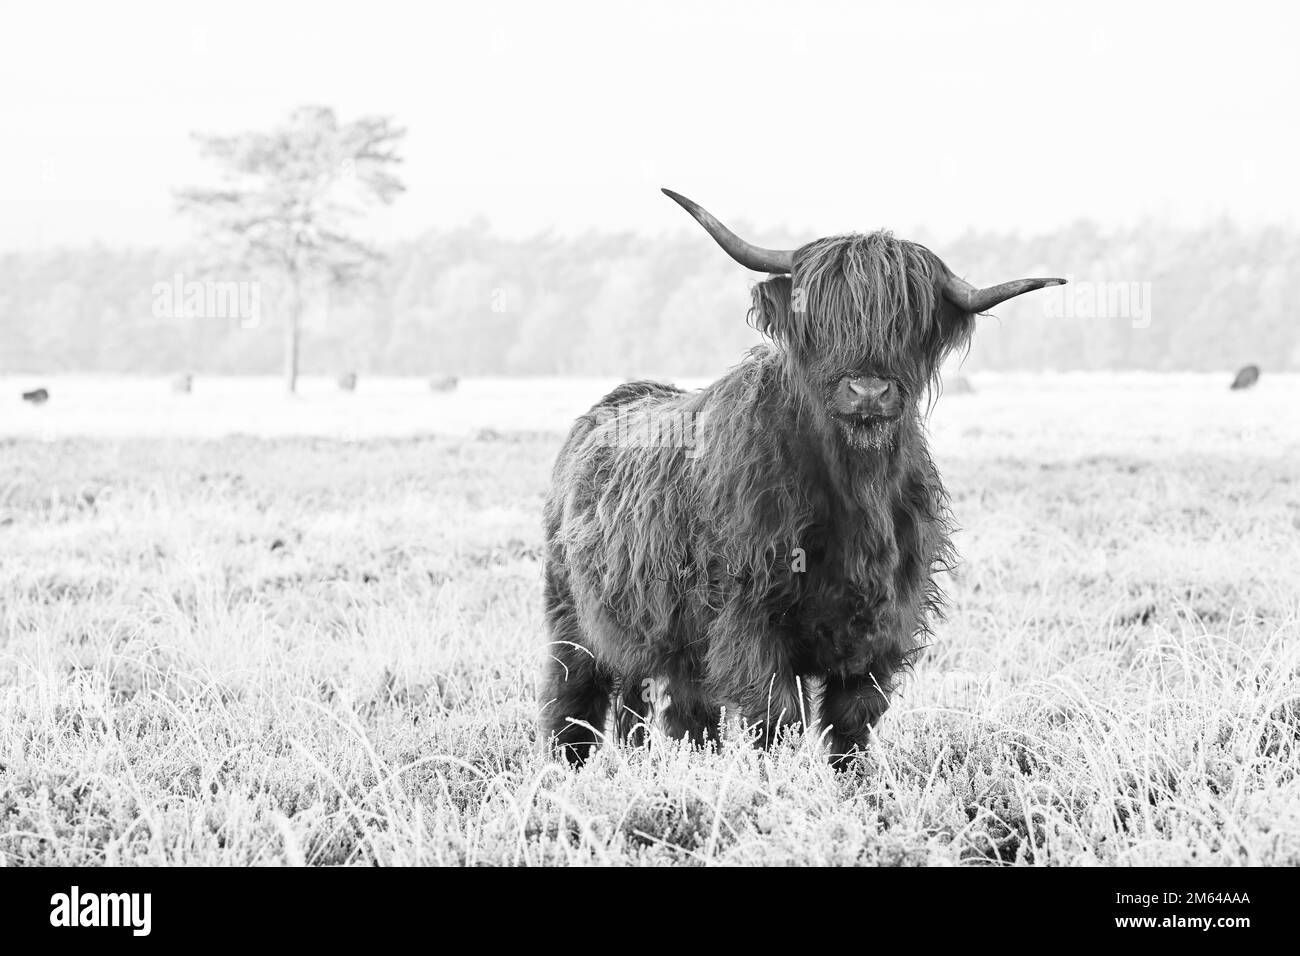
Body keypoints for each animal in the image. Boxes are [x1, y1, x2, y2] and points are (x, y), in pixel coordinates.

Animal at [543, 188, 1060, 770]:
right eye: (819, 316)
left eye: (908, 321)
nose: (867, 391)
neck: (856, 493)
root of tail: (614, 401)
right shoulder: (749, 620)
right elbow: (777, 717)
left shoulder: (884, 623)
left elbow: (853, 723)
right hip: (572, 620)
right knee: (572, 700)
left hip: (665, 644)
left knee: (673, 714)